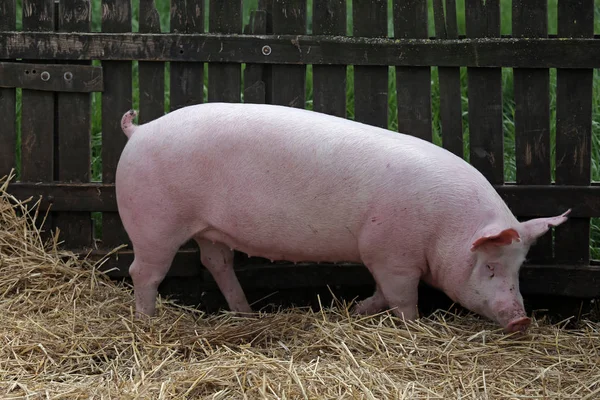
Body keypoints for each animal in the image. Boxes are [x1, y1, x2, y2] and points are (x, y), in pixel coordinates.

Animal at [115, 101, 568, 332]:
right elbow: (402, 298)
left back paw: (246, 314)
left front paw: (355, 311)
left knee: (217, 262)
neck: (446, 229)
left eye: (519, 267)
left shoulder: (384, 258)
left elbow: (382, 294)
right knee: (144, 272)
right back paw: (146, 324)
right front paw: (412, 328)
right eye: (489, 266)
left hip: (208, 228)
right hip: (154, 222)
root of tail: (140, 131)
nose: (521, 319)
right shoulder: (390, 254)